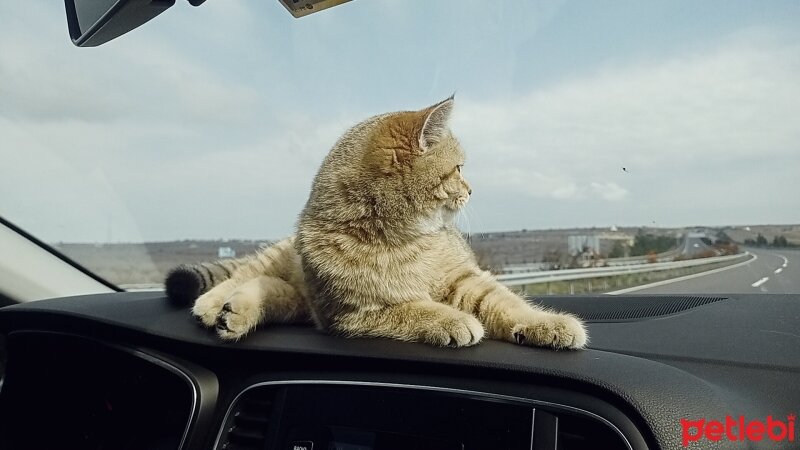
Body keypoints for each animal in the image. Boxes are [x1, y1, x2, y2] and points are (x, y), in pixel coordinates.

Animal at [164, 97, 588, 352]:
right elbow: (414, 309)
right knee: (245, 274)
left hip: (301, 299)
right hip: (290, 273)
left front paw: (548, 324)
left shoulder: (465, 279)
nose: (472, 188)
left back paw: (237, 311)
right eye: (459, 168)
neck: (402, 238)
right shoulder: (354, 314)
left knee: (269, 287)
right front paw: (451, 319)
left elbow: (506, 303)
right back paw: (213, 305)